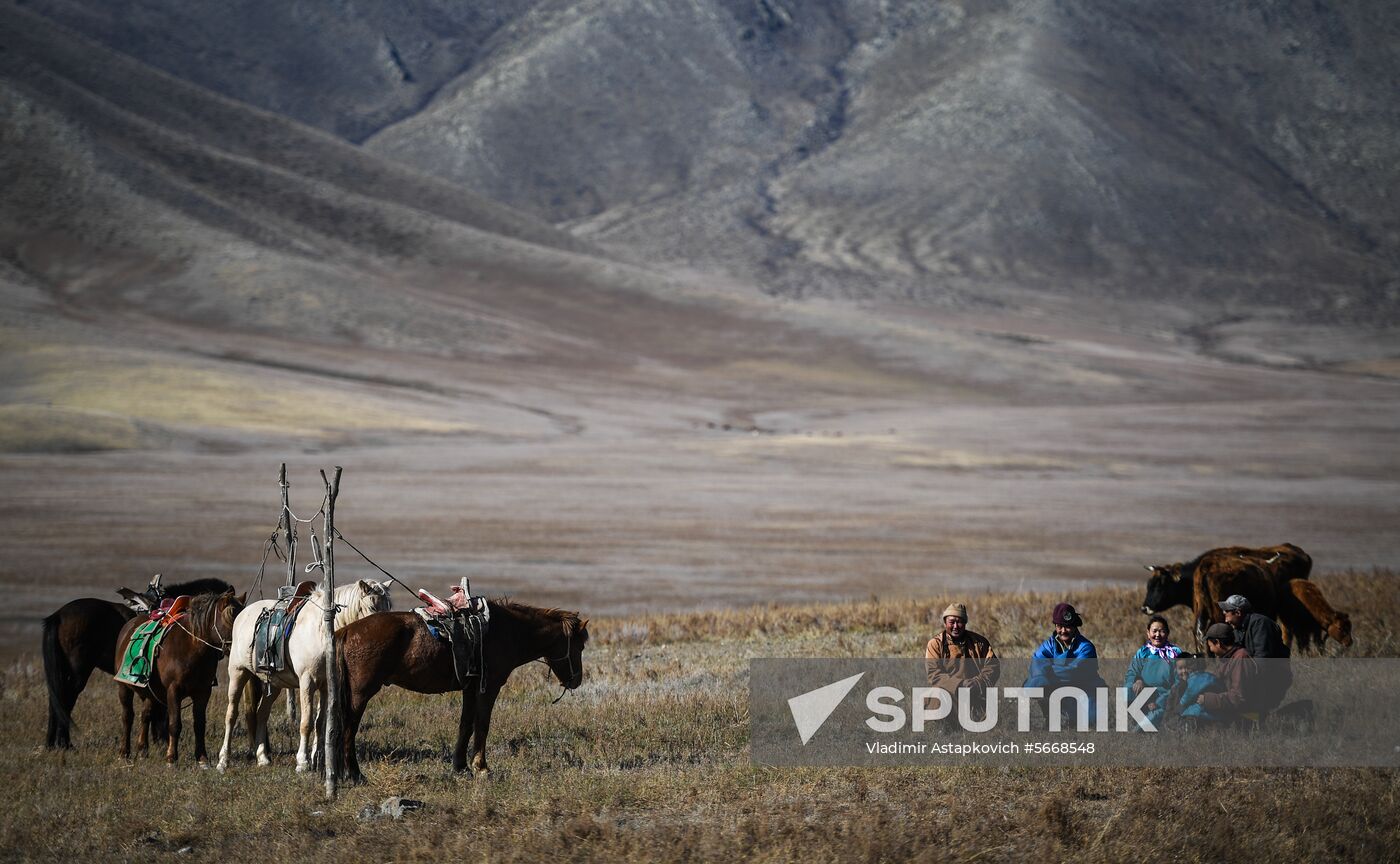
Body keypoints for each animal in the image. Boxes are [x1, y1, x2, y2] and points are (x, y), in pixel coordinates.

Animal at [42, 574, 232, 750]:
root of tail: (58, 615)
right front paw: (161, 741)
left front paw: (156, 741)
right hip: (79, 671)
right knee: (66, 700)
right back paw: (65, 743)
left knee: (56, 699)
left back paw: (51, 743)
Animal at [116, 585, 246, 761]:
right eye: (232, 618)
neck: (192, 648)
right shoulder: (174, 690)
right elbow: (174, 724)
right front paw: (171, 757)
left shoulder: (203, 691)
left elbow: (199, 724)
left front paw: (202, 758)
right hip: (124, 687)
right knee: (127, 716)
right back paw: (124, 752)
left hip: (150, 692)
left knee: (145, 715)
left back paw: (143, 750)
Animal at [218, 579, 394, 767]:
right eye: (373, 606)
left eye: (389, 606)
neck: (323, 632)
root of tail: (243, 614)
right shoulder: (307, 682)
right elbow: (307, 722)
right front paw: (303, 761)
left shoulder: (327, 686)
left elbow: (320, 722)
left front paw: (318, 758)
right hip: (238, 672)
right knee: (231, 714)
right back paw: (223, 760)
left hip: (275, 683)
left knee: (262, 713)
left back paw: (263, 757)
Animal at [340, 599, 590, 784]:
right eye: (580, 646)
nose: (576, 680)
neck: (509, 631)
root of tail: (348, 630)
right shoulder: (488, 688)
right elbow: (482, 725)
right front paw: (481, 768)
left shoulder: (470, 689)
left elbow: (466, 725)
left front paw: (460, 767)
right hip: (361, 693)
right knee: (349, 728)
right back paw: (355, 774)